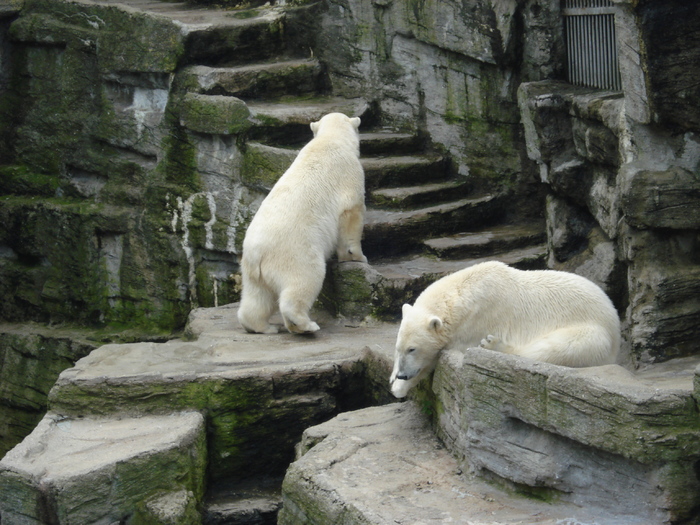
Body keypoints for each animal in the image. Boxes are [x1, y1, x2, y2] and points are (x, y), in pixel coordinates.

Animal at [237, 112, 367, 335]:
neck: (331, 139)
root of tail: (256, 253)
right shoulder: (350, 175)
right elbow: (351, 214)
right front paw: (357, 257)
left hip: (253, 272)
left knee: (258, 297)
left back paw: (263, 327)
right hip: (296, 253)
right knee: (305, 280)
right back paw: (305, 325)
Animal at [389, 261, 620, 398]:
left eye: (412, 349)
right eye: (398, 349)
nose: (402, 375)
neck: (462, 291)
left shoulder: (476, 320)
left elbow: (437, 355)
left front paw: (398, 388)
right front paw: (393, 378)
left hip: (592, 332)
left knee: (556, 347)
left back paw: (494, 345)